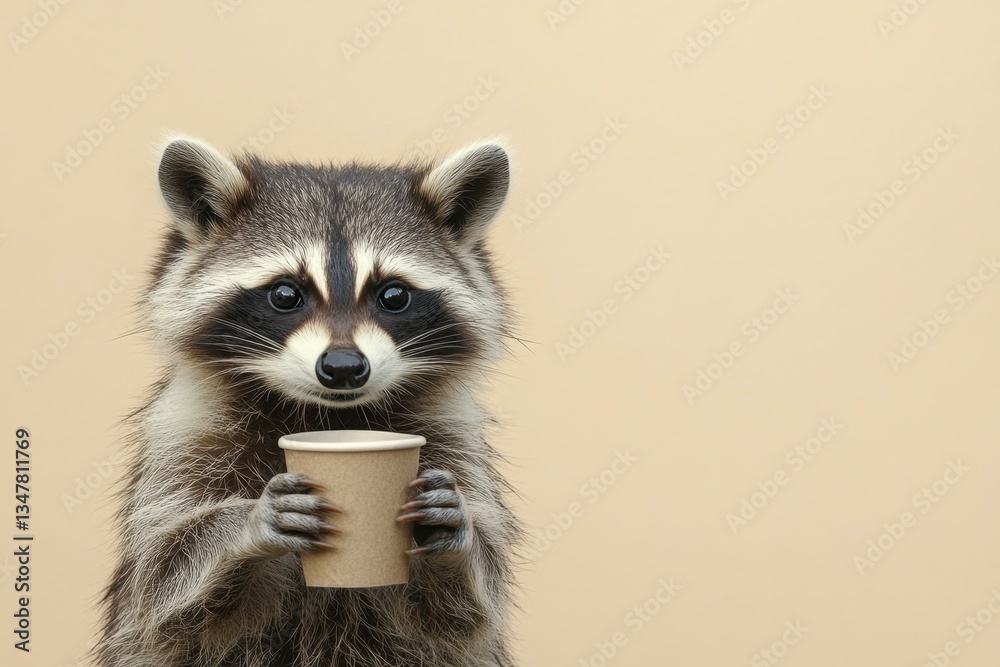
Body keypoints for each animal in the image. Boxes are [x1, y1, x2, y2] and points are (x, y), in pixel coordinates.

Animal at [94, 135, 521, 666]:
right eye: (284, 294)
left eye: (393, 296)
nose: (343, 367)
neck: (330, 416)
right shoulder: (184, 431)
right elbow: (161, 586)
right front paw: (245, 523)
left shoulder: (453, 432)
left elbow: (463, 615)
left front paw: (455, 537)